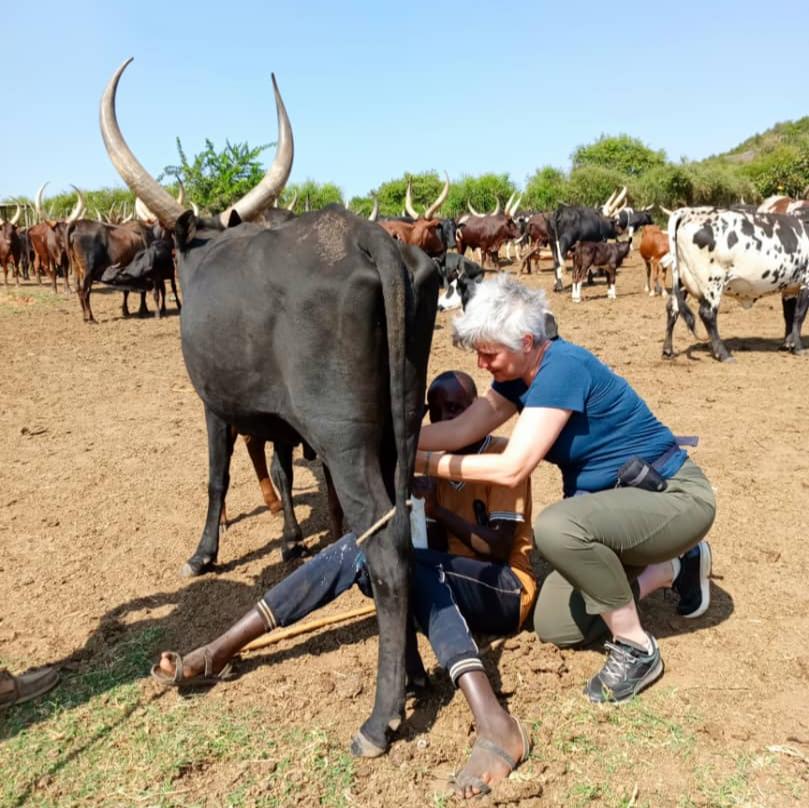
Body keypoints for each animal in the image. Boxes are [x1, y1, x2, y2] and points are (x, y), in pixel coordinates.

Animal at [102, 58, 442, 756]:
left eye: (152, 244)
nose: (120, 275)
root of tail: (373, 242)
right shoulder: (281, 424)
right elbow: (283, 473)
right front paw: (288, 538)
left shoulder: (215, 406)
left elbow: (216, 478)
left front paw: (203, 553)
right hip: (401, 426)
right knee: (401, 531)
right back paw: (415, 678)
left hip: (346, 439)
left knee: (386, 553)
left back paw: (379, 719)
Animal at [664, 207, 808, 362]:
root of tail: (690, 211)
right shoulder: (806, 282)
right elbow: (799, 315)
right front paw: (798, 347)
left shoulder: (790, 288)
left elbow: (789, 315)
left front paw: (788, 344)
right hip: (713, 281)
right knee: (707, 314)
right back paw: (723, 354)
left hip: (681, 280)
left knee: (672, 308)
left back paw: (667, 350)